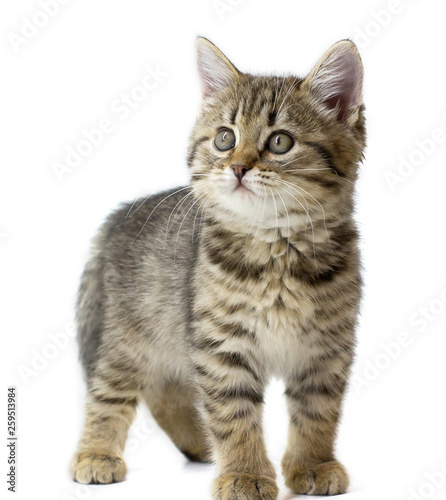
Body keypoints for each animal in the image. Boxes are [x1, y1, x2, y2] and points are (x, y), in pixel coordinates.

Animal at [70, 37, 366, 498]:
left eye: (280, 142)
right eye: (226, 139)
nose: (238, 167)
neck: (277, 250)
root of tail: (119, 216)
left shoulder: (326, 349)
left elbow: (317, 412)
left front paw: (312, 465)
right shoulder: (222, 345)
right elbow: (234, 416)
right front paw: (245, 473)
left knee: (165, 393)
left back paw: (199, 446)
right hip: (128, 334)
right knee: (110, 392)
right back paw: (97, 454)